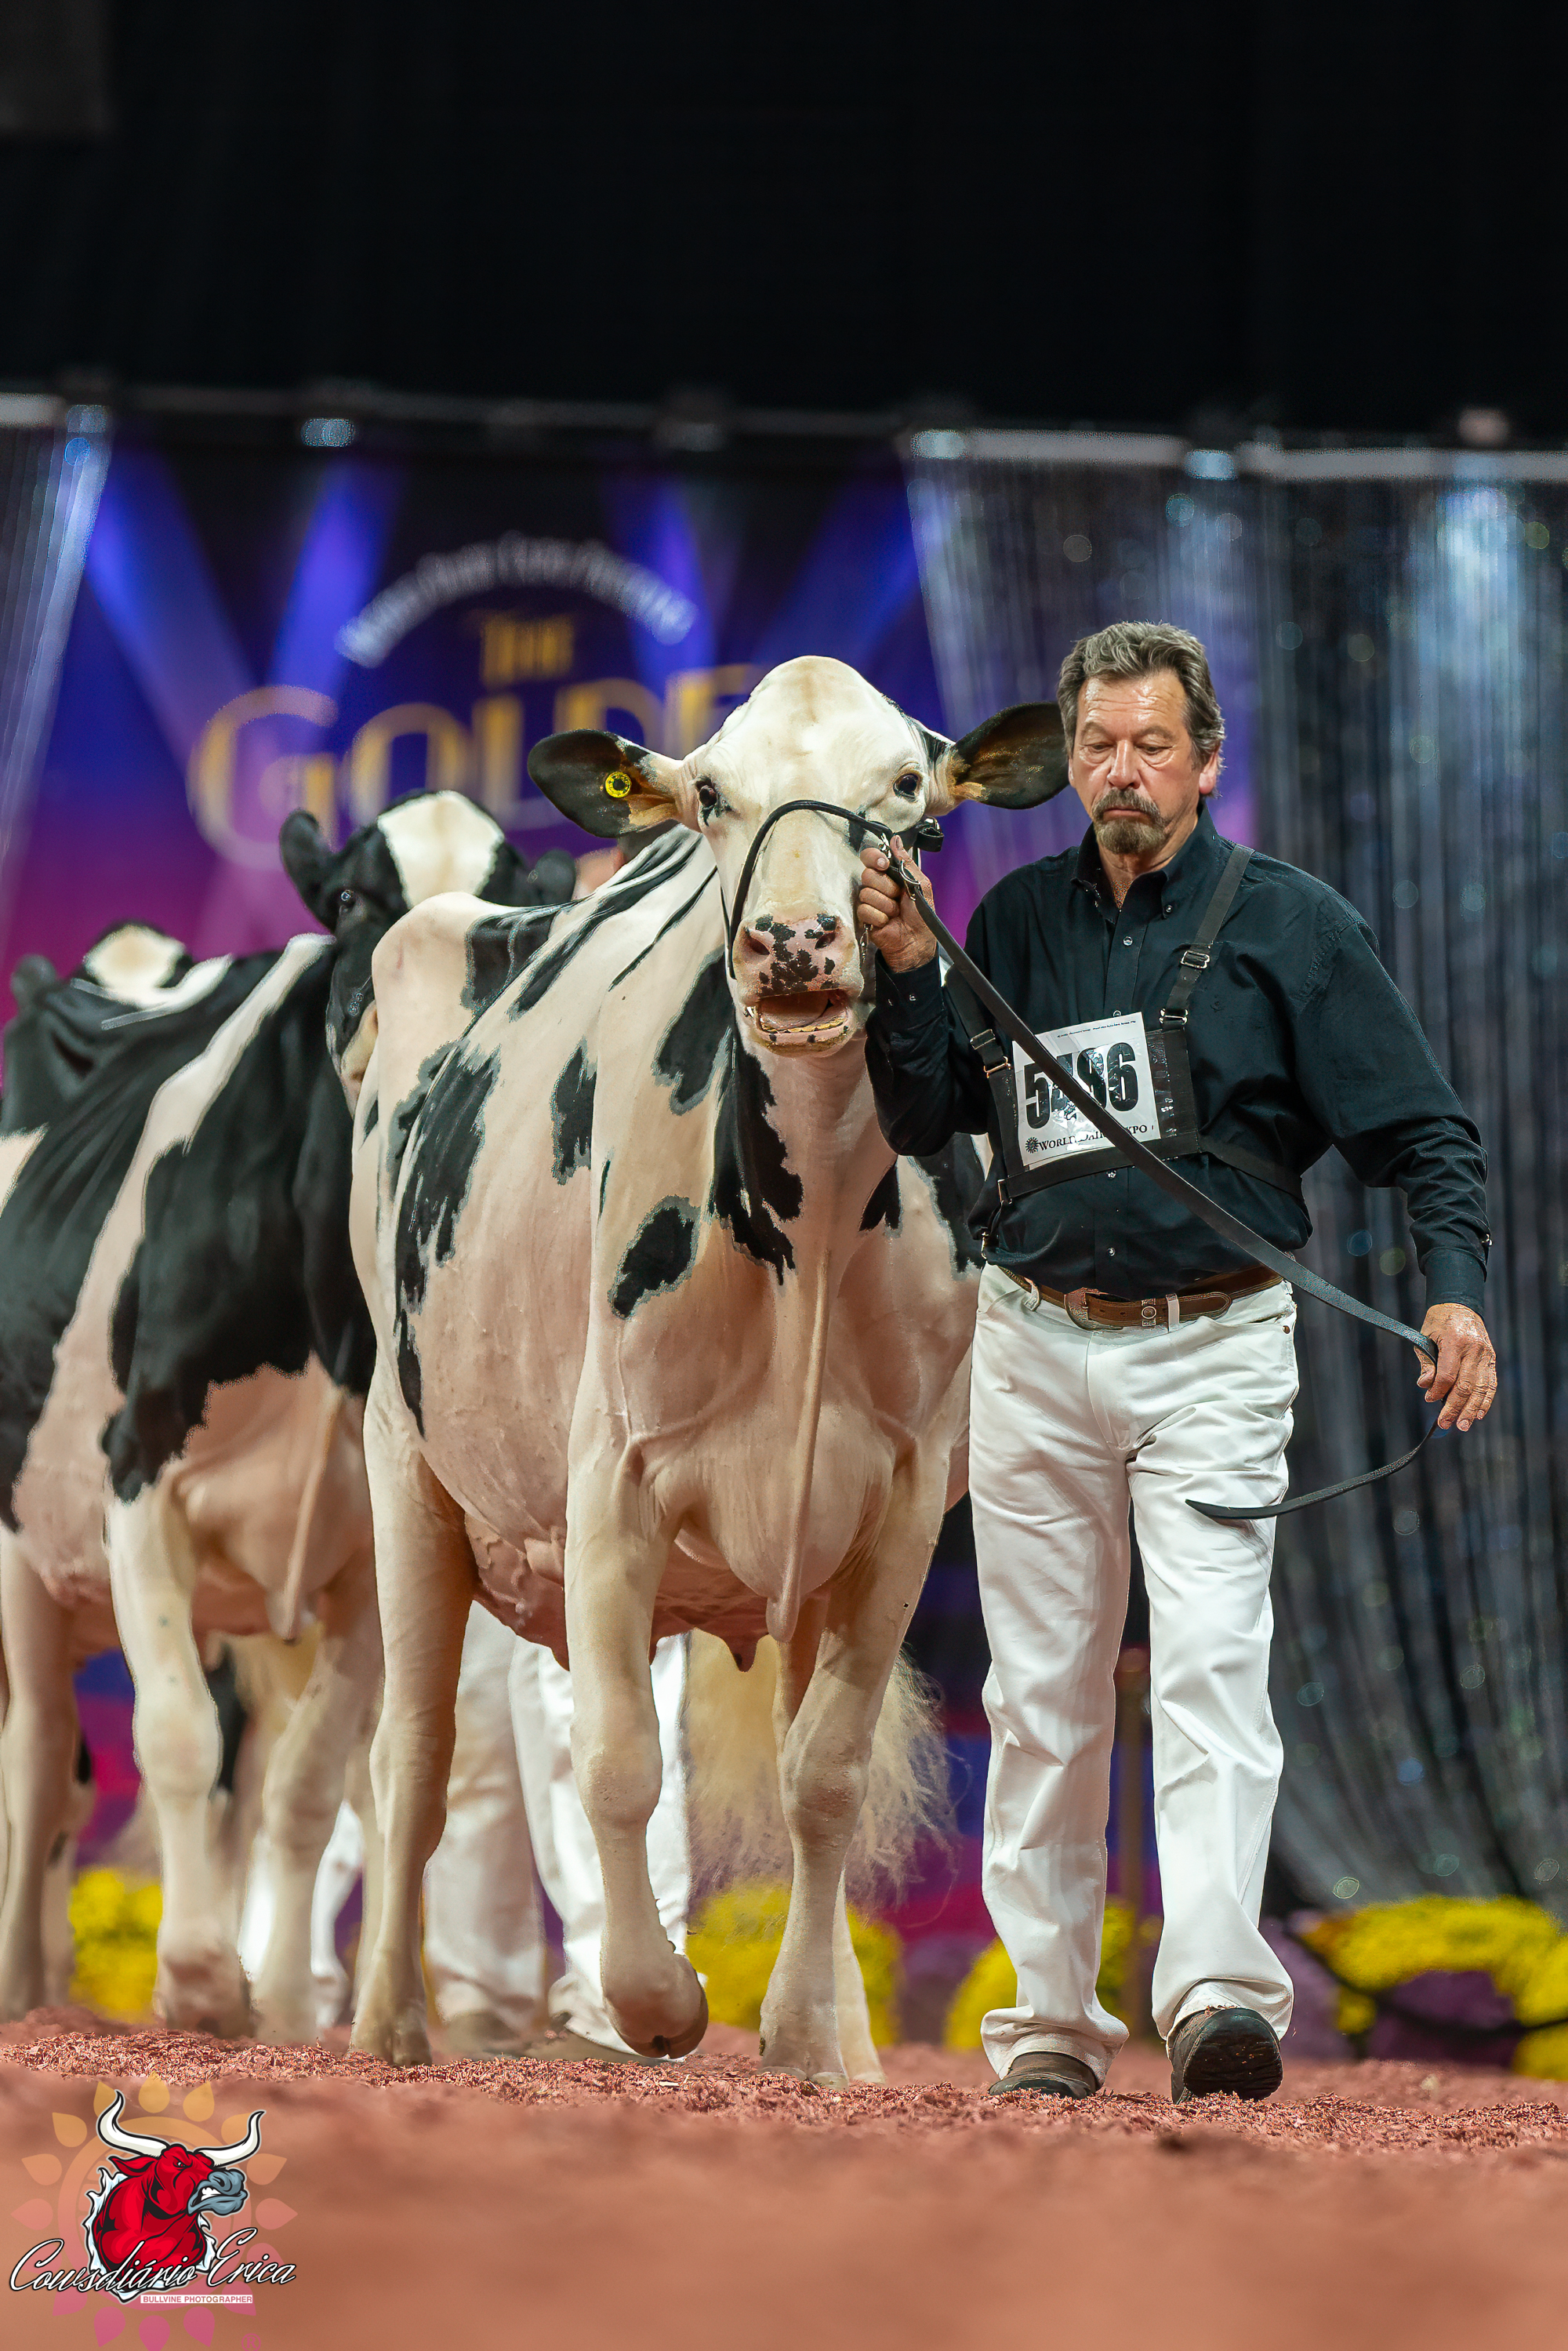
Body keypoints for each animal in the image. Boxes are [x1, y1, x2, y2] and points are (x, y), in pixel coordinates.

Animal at [0, 796, 572, 2038]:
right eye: (355, 899)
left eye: (513, 913)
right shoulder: (138, 1476)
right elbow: (171, 1734)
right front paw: (198, 1979)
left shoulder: (367, 1541)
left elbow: (307, 1782)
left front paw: (283, 2011)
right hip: (21, 1550)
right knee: (41, 1754)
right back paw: (23, 1987)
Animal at [343, 655, 1063, 2082]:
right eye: (714, 793)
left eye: (911, 791)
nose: (794, 942)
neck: (820, 1222)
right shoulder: (611, 1471)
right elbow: (619, 1758)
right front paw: (658, 1999)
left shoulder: (902, 1494)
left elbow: (824, 1771)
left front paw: (804, 2029)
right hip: (405, 1461)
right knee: (415, 1753)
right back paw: (387, 2021)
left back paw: (840, 2033)